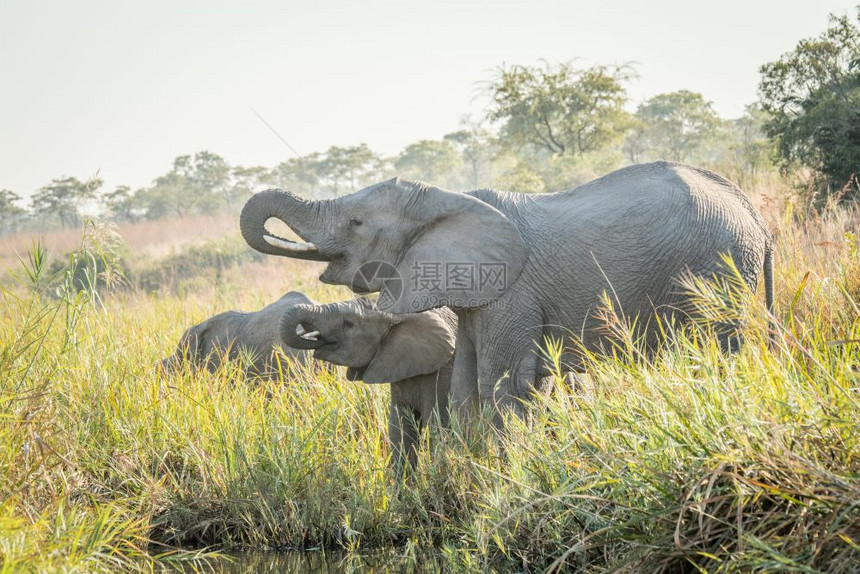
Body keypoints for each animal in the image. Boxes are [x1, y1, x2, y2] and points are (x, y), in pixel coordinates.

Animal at [239, 162, 776, 428]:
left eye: (355, 223)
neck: (447, 197)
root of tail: (756, 216)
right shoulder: (479, 299)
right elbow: (465, 388)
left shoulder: (513, 291)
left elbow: (499, 387)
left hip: (718, 272)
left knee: (718, 352)